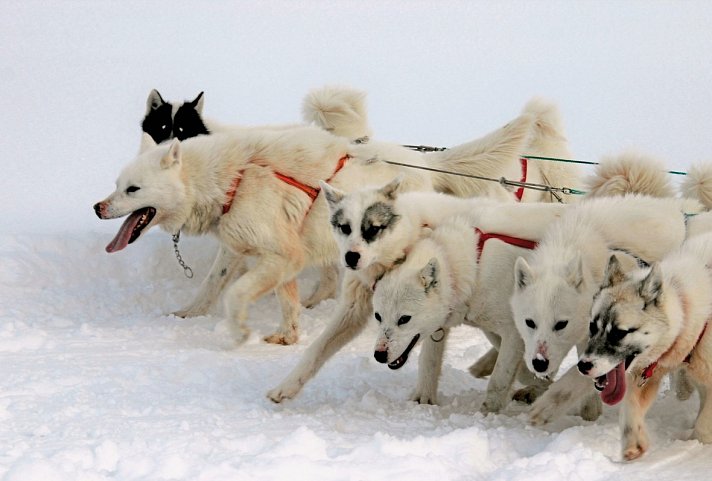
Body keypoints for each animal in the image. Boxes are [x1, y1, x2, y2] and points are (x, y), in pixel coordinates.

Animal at [96, 104, 552, 344]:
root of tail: (418, 159)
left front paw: (240, 330)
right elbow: (220, 286)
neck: (233, 177)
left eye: (133, 189)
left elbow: (237, 294)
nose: (98, 207)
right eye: (116, 185)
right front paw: (195, 315)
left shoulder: (282, 255)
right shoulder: (255, 252)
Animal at [264, 178, 572, 410]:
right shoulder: (359, 308)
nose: (351, 257)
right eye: (345, 228)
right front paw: (285, 388)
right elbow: (316, 350)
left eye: (372, 229)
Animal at [576, 232, 712, 462]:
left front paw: (697, 444)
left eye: (619, 333)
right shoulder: (647, 375)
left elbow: (704, 426)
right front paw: (633, 445)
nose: (583, 366)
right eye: (593, 326)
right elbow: (629, 411)